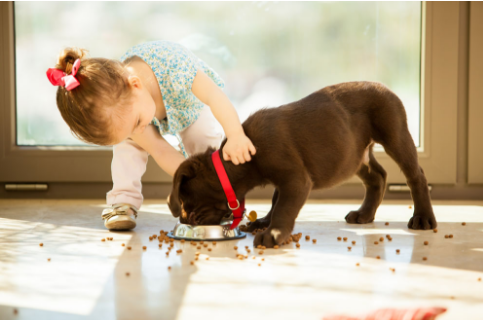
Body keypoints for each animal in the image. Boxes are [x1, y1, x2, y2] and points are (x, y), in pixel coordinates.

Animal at [167, 80, 438, 248]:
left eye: (186, 202)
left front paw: (273, 233)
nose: (186, 220)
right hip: (354, 155)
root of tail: (384, 86)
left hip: (394, 134)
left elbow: (284, 207)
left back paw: (423, 218)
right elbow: (276, 201)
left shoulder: (295, 179)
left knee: (416, 175)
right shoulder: (285, 180)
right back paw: (364, 214)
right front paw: (264, 223)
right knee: (378, 176)